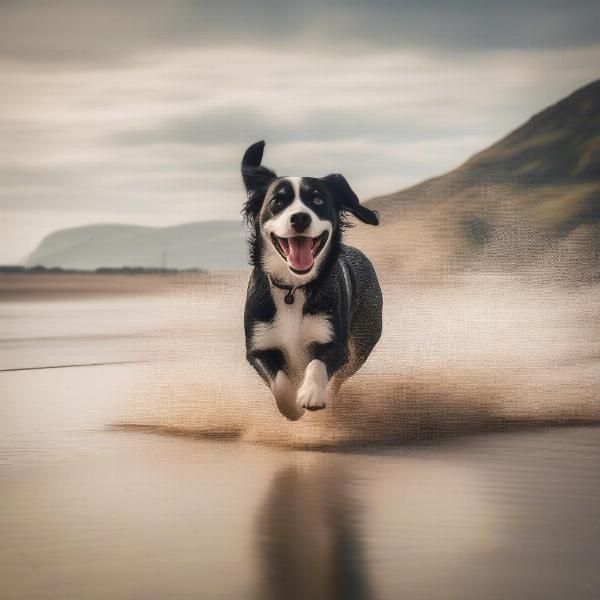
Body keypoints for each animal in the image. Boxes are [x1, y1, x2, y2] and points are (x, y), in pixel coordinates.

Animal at [241, 142, 382, 420]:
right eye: (277, 201)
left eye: (318, 200)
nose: (300, 218)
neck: (293, 288)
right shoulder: (259, 345)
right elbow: (280, 382)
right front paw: (291, 405)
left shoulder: (335, 343)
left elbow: (317, 364)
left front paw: (311, 394)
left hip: (363, 341)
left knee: (341, 376)